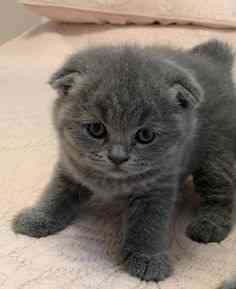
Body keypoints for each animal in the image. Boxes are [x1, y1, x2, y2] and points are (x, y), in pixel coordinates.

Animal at [13, 40, 236, 282]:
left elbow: (148, 223)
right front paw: (38, 219)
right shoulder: (70, 166)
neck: (113, 182)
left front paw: (147, 259)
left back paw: (209, 224)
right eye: (96, 129)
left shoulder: (159, 184)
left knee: (221, 196)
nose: (118, 157)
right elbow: (56, 193)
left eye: (145, 135)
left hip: (216, 160)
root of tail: (215, 62)